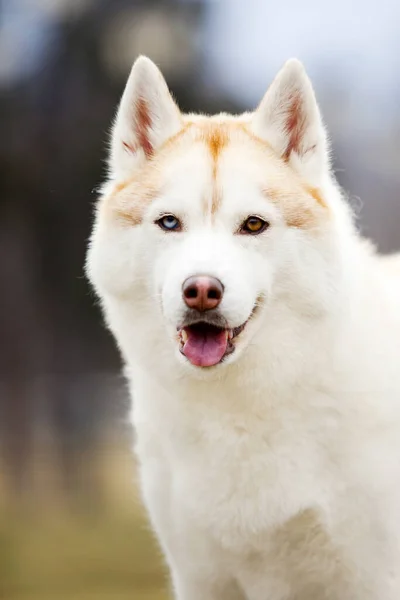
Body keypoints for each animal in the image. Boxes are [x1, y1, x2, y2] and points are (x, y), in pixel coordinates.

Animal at [86, 57, 400, 600]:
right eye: (169, 223)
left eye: (253, 225)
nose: (201, 290)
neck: (238, 407)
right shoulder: (201, 578)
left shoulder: (371, 577)